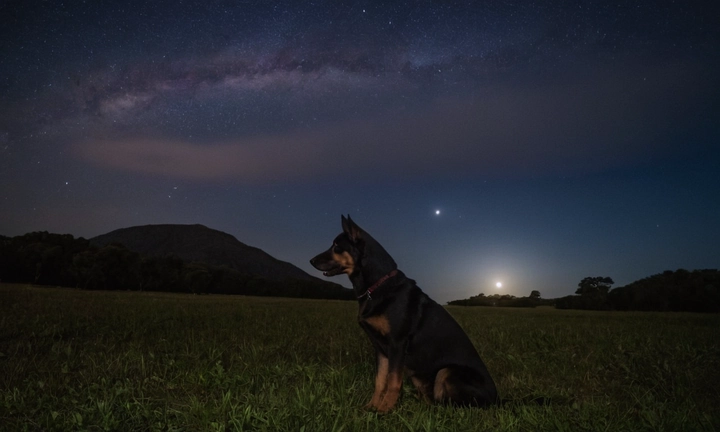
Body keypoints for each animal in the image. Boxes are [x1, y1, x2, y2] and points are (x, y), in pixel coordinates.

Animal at [310, 216, 496, 412]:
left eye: (336, 246)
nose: (311, 261)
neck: (376, 285)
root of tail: (498, 400)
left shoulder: (397, 344)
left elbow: (393, 381)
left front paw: (384, 410)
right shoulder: (380, 349)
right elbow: (380, 381)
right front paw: (372, 406)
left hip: (446, 372)